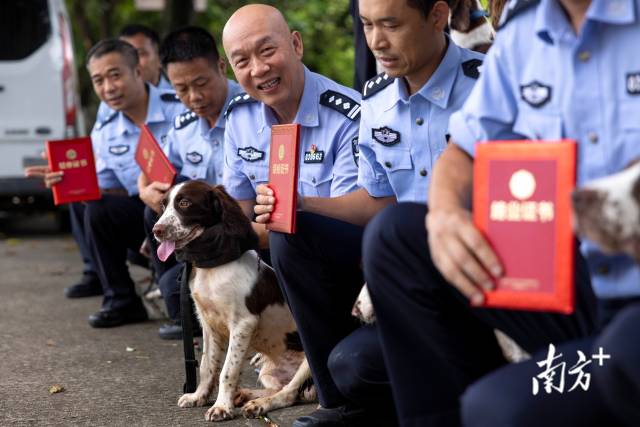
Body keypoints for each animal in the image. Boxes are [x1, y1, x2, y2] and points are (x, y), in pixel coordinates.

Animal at [152, 180, 312, 422]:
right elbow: (207, 366)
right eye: (163, 204)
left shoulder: (243, 324)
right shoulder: (208, 324)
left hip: (307, 364)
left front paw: (221, 407)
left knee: (289, 393)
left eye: (185, 203)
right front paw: (198, 396)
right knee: (278, 387)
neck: (213, 267)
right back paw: (245, 396)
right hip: (268, 369)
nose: (156, 231)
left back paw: (258, 405)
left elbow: (228, 370)